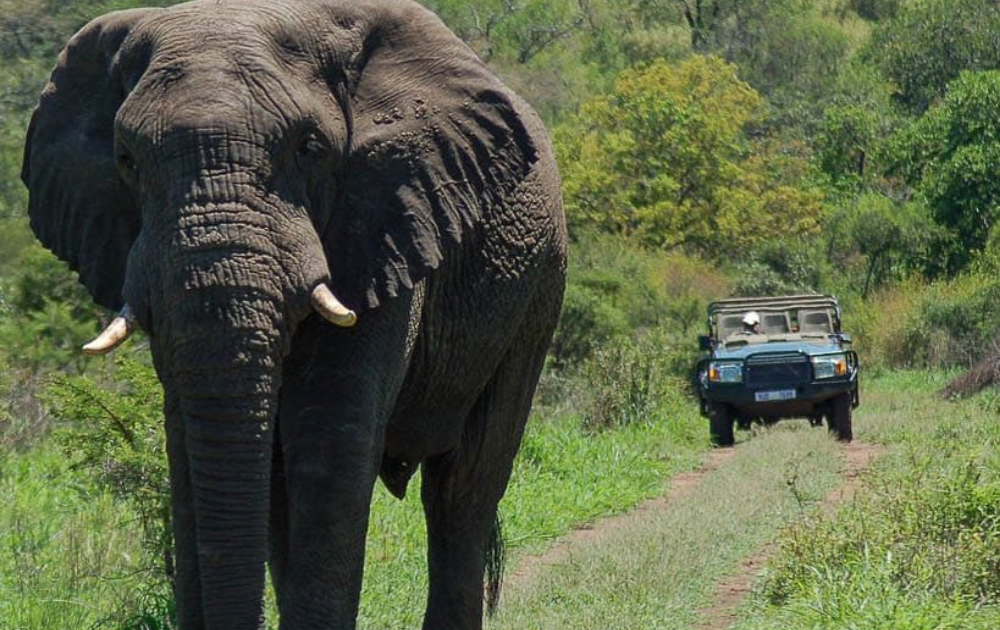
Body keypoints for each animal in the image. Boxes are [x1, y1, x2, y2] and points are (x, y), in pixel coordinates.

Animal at [20, 0, 566, 628]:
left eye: (309, 148)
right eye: (127, 160)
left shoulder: (384, 216)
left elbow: (330, 437)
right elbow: (188, 439)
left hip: (537, 287)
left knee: (463, 487)